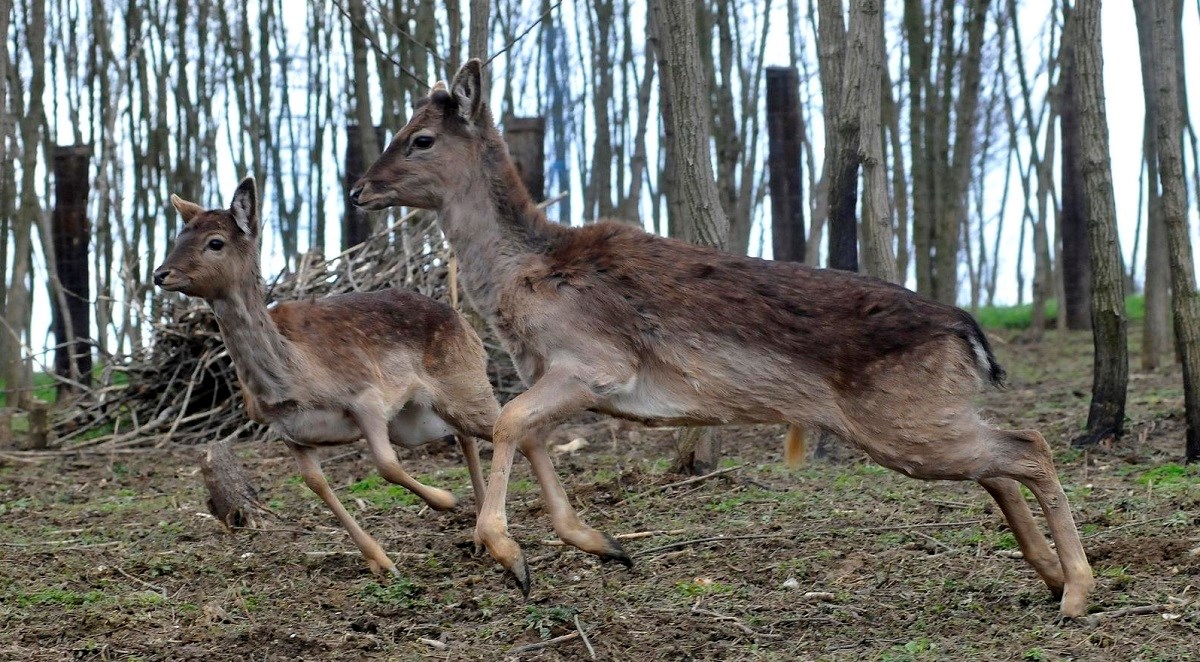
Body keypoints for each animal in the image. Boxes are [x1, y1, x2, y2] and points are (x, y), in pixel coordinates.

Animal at [153, 178, 496, 575]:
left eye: (215, 242)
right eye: (179, 236)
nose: (160, 274)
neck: (290, 380)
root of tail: (465, 321)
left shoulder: (366, 394)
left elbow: (387, 465)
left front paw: (445, 500)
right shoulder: (289, 431)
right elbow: (315, 483)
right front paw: (380, 562)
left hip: (466, 382)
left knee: (502, 422)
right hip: (415, 421)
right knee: (465, 435)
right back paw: (480, 535)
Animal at [350, 59, 1099, 618]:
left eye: (421, 137)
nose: (359, 188)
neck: (523, 277)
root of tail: (970, 334)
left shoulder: (598, 363)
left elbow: (508, 423)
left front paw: (509, 554)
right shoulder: (557, 376)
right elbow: (528, 433)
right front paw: (599, 543)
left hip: (902, 421)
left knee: (1028, 445)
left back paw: (1078, 593)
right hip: (925, 420)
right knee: (999, 464)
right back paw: (1049, 576)